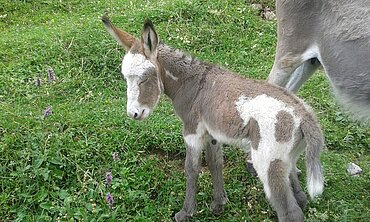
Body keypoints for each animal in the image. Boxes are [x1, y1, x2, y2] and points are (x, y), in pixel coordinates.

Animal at [102, 16, 324, 221]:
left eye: (144, 79)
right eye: (125, 78)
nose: (133, 114)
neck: (192, 83)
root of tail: (305, 117)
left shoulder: (192, 131)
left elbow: (191, 168)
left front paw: (186, 212)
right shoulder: (212, 133)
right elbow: (214, 162)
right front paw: (219, 204)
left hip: (267, 161)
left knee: (289, 211)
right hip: (287, 158)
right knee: (299, 195)